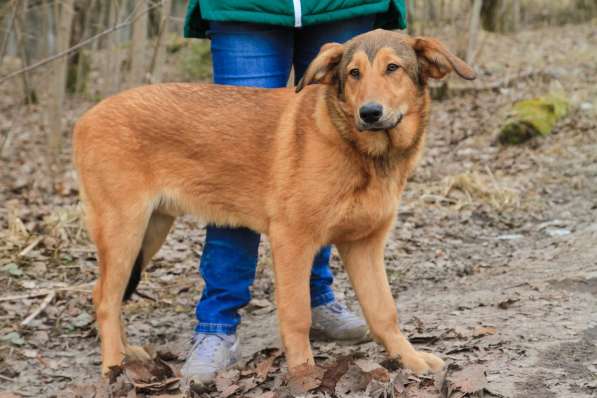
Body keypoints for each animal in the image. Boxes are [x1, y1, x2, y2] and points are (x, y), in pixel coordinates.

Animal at [73, 29, 474, 378]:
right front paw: (304, 374)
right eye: (354, 73)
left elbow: (384, 312)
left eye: (394, 68)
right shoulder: (291, 241)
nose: (370, 113)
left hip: (152, 229)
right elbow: (297, 316)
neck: (361, 150)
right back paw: (113, 367)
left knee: (108, 295)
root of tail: (85, 118)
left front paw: (409, 358)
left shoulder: (364, 246)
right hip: (124, 229)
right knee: (105, 299)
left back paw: (127, 353)